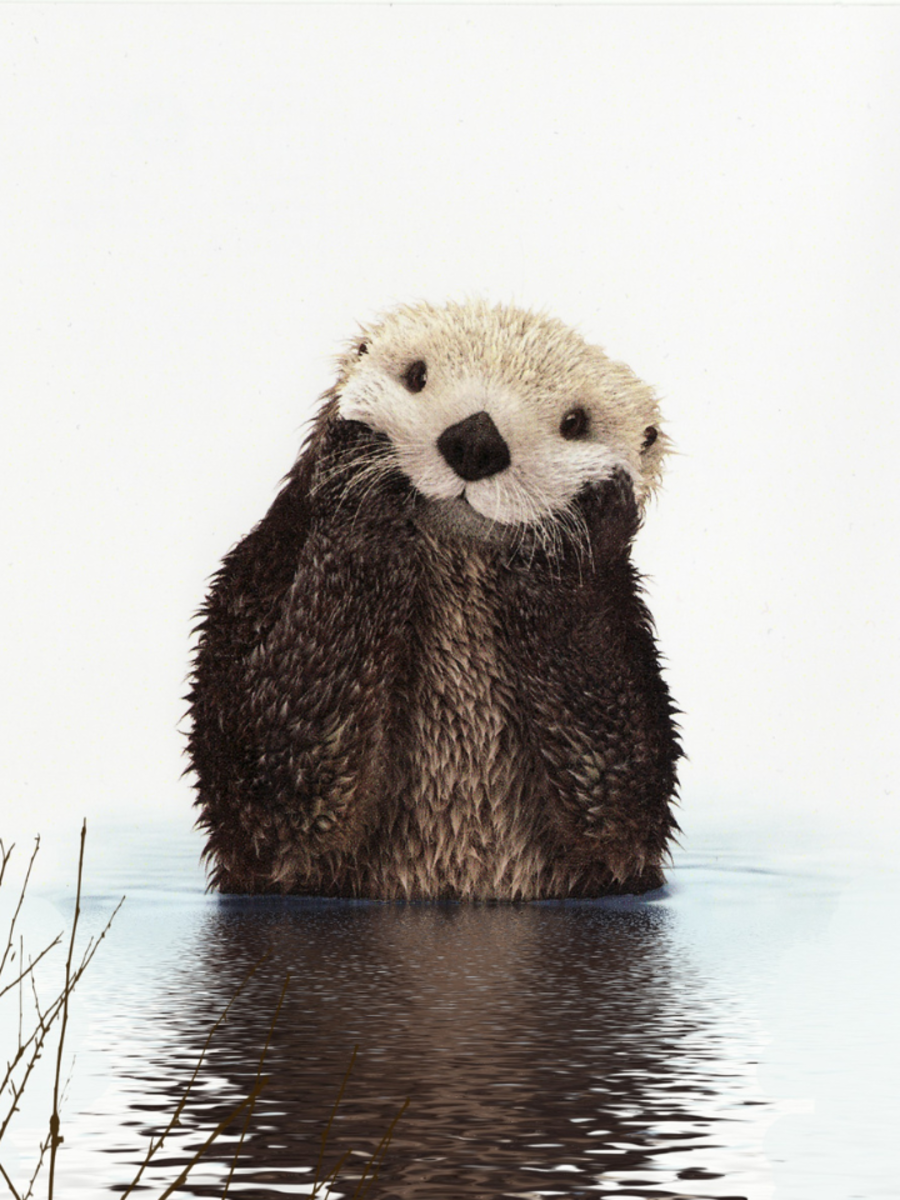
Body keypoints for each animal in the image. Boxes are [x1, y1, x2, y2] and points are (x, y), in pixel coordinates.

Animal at [187, 300, 681, 900]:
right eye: (416, 376)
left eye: (575, 423)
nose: (476, 441)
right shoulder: (256, 581)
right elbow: (273, 772)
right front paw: (361, 473)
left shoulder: (627, 650)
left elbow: (619, 793)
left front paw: (579, 526)